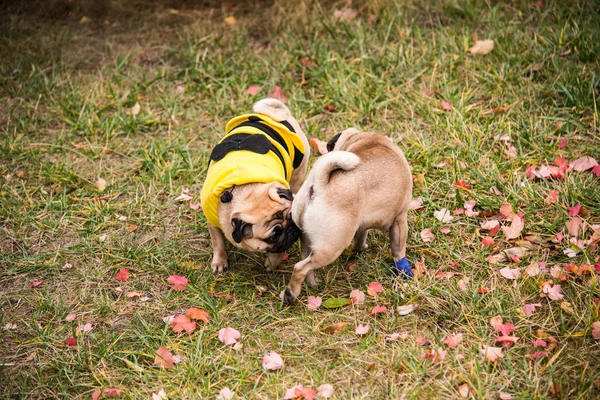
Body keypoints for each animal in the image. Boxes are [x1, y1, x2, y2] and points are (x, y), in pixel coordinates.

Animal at [200, 99, 310, 276]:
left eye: (291, 217)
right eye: (273, 236)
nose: (292, 229)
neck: (245, 192)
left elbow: (277, 250)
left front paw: (272, 262)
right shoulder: (212, 222)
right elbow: (218, 243)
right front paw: (219, 261)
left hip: (298, 172)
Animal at [282, 128, 412, 304]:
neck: (367, 140)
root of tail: (318, 186)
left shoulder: (362, 224)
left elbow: (361, 236)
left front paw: (361, 248)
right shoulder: (400, 218)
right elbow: (399, 250)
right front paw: (403, 270)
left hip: (308, 237)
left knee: (305, 260)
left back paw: (312, 284)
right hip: (332, 247)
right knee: (300, 267)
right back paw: (291, 294)